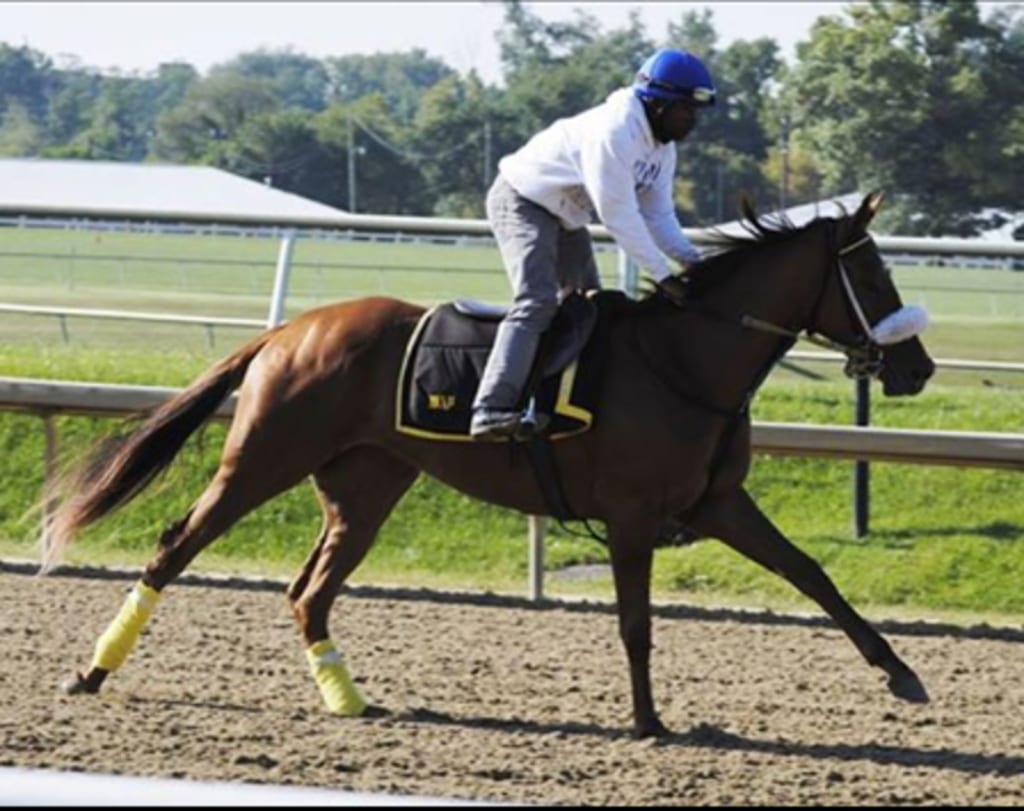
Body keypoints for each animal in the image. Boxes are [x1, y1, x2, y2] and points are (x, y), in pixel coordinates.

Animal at [48, 191, 937, 741]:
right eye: (870, 271)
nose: (917, 366)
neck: (684, 360)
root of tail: (287, 331)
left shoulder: (718, 502)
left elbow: (812, 573)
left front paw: (902, 674)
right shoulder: (632, 515)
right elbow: (637, 622)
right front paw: (649, 721)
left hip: (364, 486)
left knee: (309, 592)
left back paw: (348, 698)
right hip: (263, 458)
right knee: (176, 544)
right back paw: (91, 670)